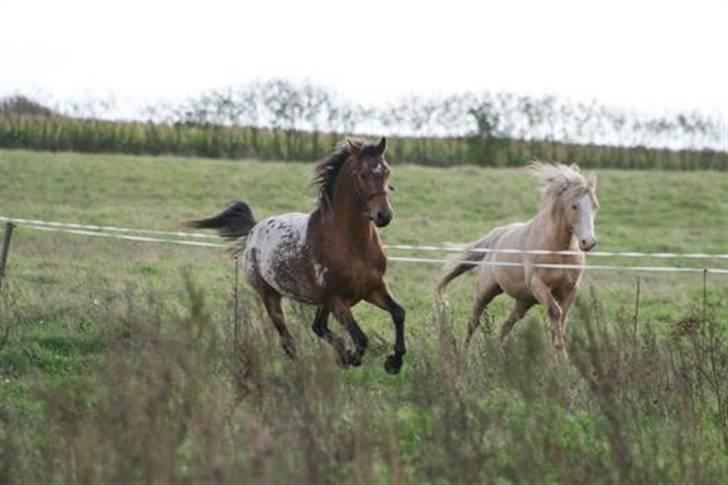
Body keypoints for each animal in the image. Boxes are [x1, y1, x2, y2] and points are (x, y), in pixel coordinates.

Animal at [438, 164, 596, 358]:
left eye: (594, 206)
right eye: (574, 206)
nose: (588, 242)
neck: (559, 251)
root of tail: (496, 235)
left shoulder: (570, 290)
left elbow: (561, 321)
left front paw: (560, 359)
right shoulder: (538, 285)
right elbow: (555, 313)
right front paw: (561, 358)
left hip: (524, 301)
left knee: (506, 325)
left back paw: (495, 353)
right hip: (486, 290)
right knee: (474, 320)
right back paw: (464, 354)